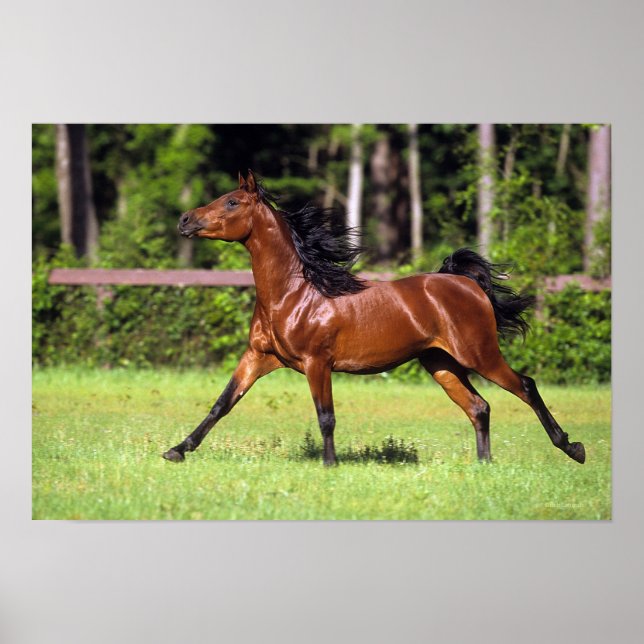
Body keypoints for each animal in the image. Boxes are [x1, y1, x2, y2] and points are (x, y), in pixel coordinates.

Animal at [163, 170, 585, 466]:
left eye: (232, 202)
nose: (184, 220)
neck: (294, 294)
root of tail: (467, 284)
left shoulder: (317, 363)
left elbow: (326, 417)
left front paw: (330, 465)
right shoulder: (259, 357)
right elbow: (222, 403)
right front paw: (177, 450)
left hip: (479, 355)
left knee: (525, 386)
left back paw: (572, 448)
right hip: (441, 363)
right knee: (478, 407)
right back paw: (485, 464)